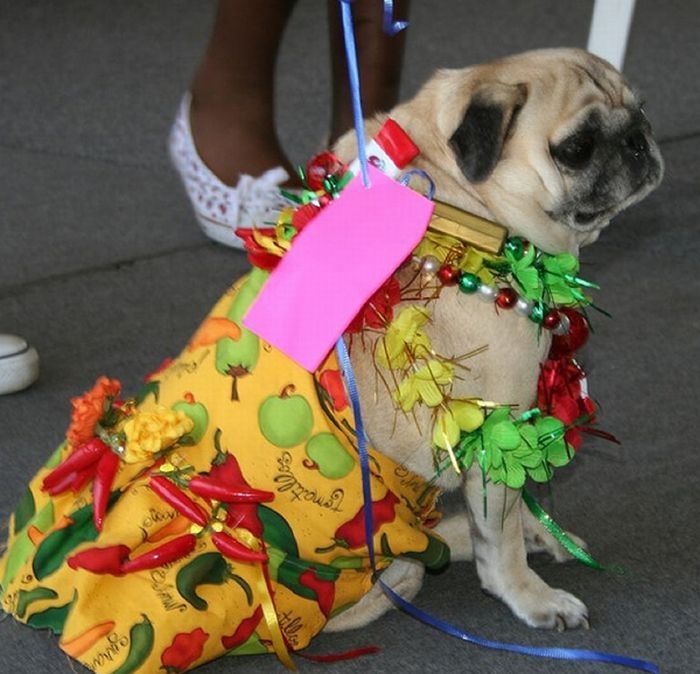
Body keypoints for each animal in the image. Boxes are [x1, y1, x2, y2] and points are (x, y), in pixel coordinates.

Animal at [328, 47, 660, 632]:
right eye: (577, 149)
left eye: (640, 109)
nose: (639, 139)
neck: (463, 200)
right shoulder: (490, 431)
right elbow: (499, 541)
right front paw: (530, 596)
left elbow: (512, 509)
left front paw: (531, 529)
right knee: (410, 564)